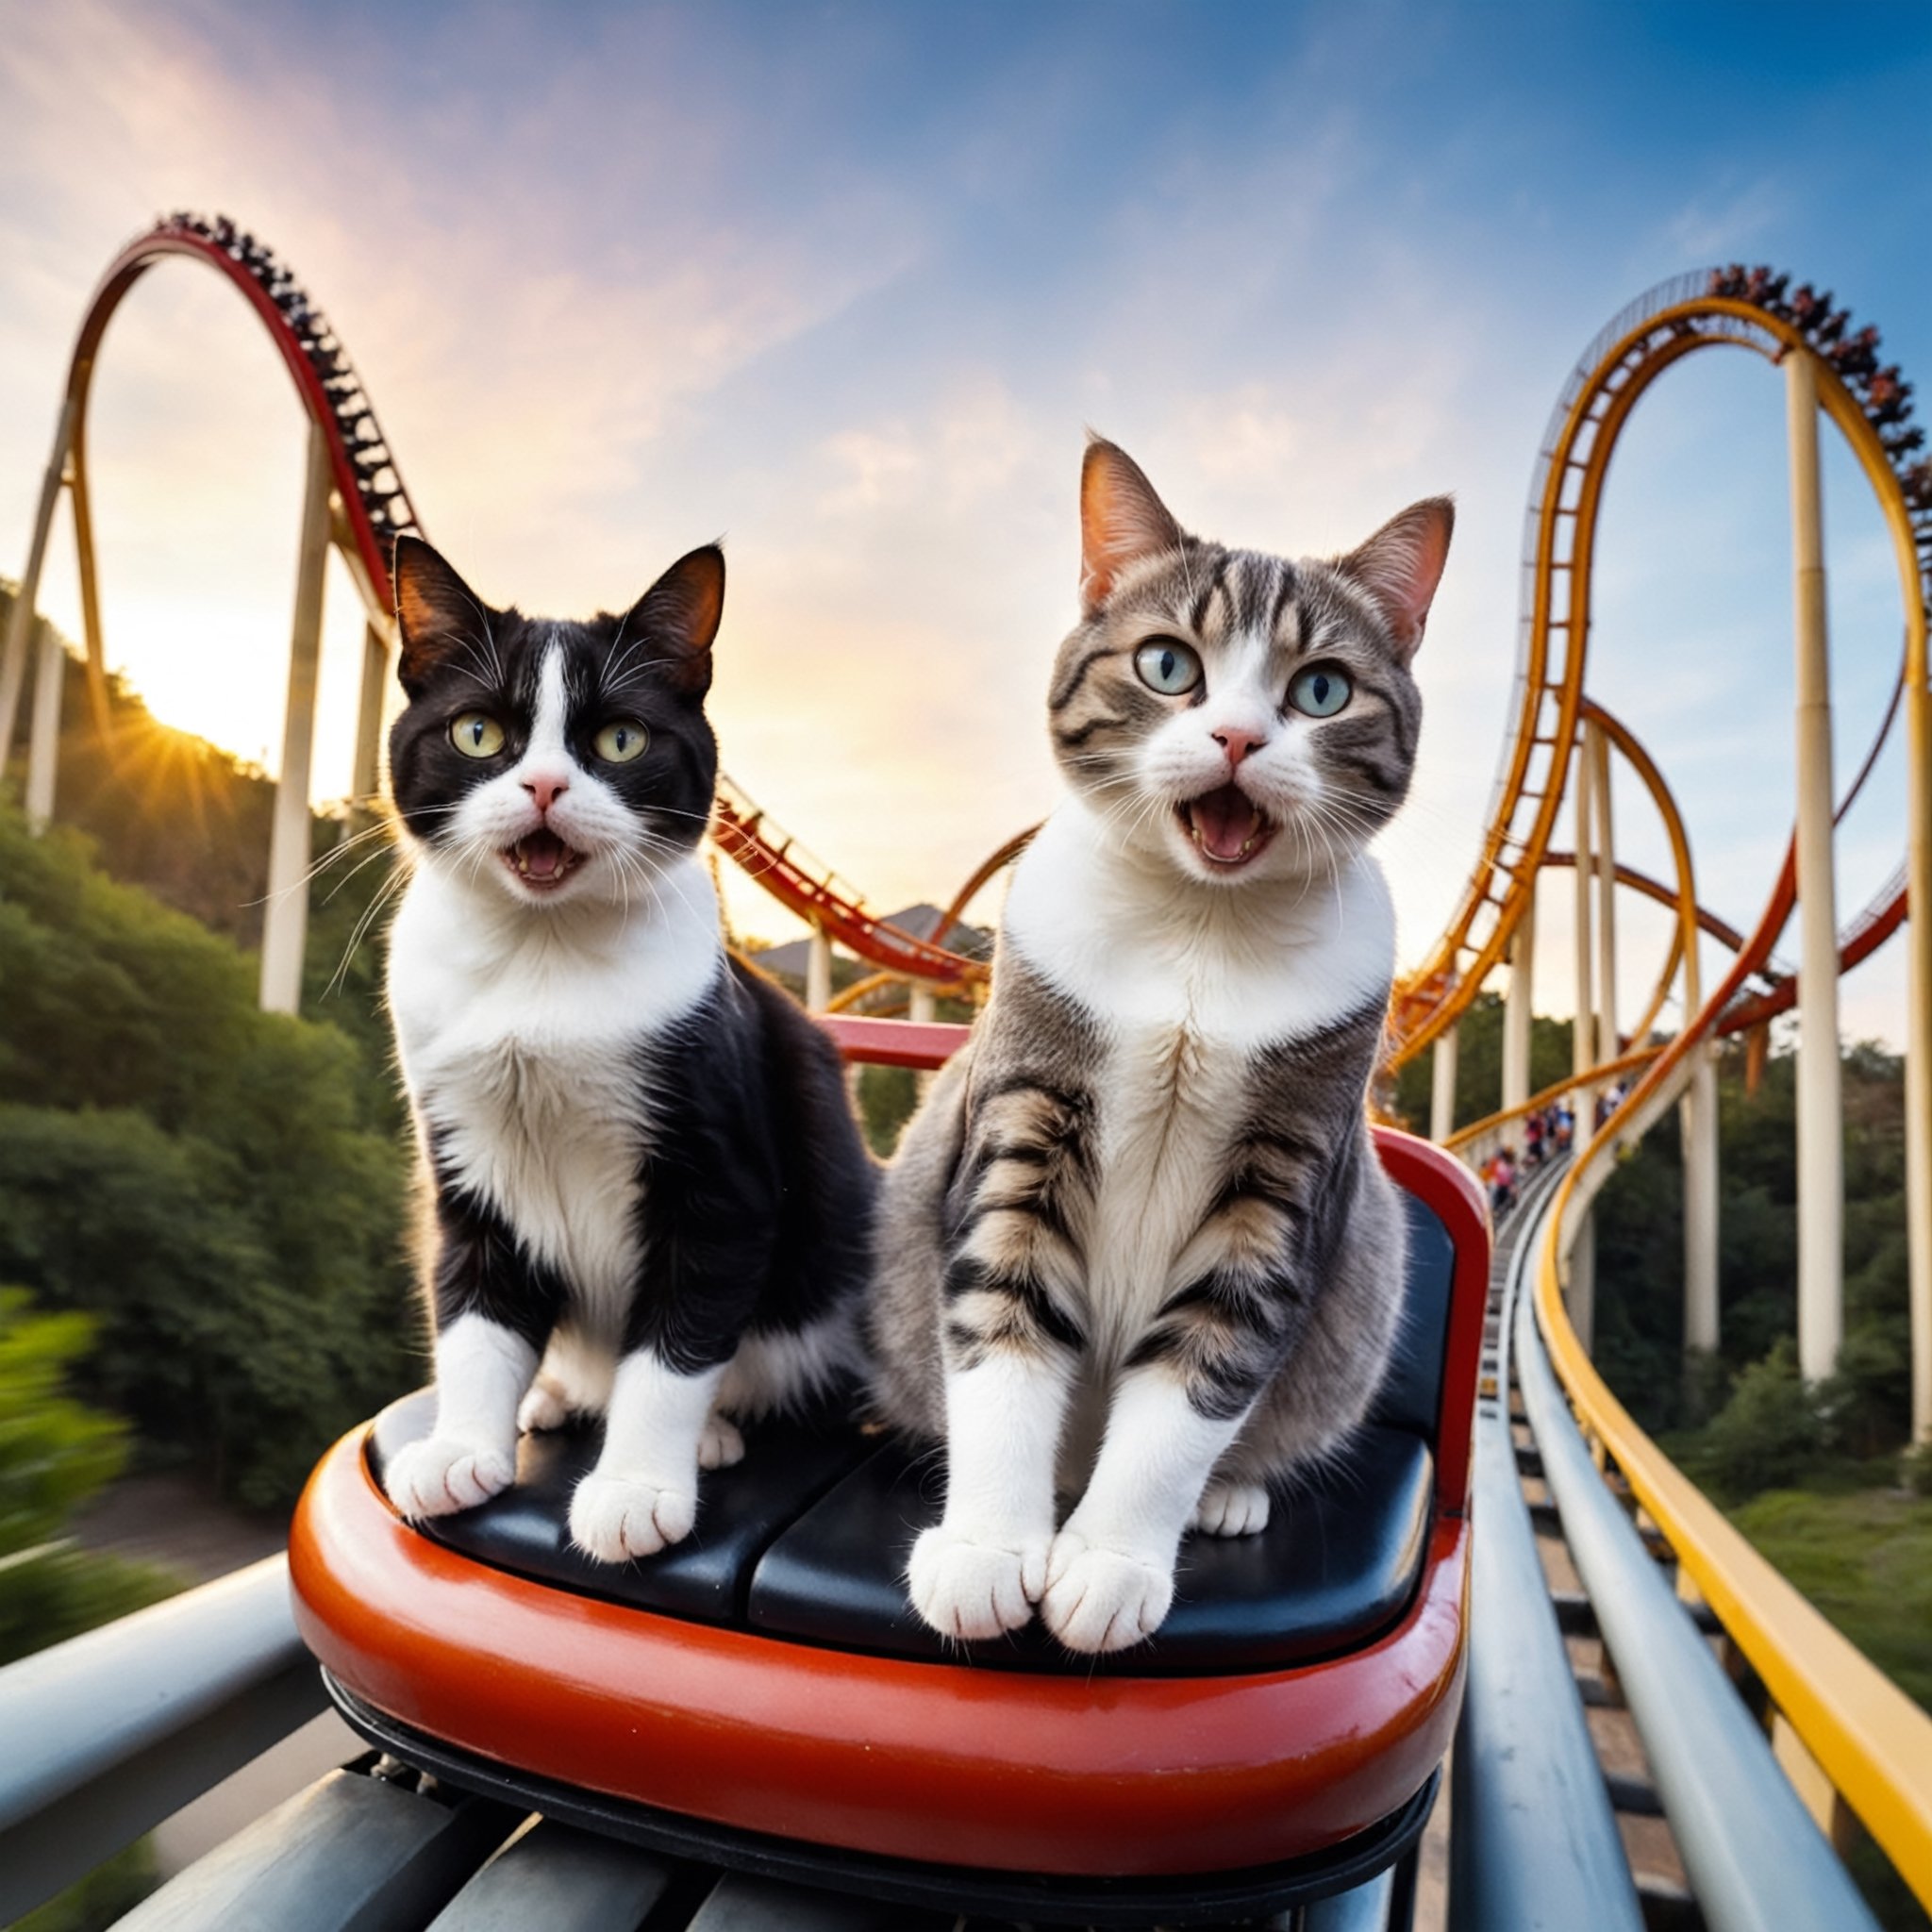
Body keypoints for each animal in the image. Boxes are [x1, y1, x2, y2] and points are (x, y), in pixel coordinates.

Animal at [378, 537, 876, 1560]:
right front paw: (461, 1446)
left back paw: (714, 1430)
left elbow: (675, 1342)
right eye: (478, 733)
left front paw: (636, 1488)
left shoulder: (718, 1173)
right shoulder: (462, 1159)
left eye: (620, 741)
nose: (544, 785)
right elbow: (474, 1311)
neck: (542, 958)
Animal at [873, 434, 1453, 1645]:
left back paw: (1226, 1492)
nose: (1235, 735)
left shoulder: (1282, 1176)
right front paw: (988, 1547)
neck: (1196, 930)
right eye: (1166, 665)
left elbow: (1197, 1376)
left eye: (1320, 689)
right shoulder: (1024, 1113)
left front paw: (1108, 1562)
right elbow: (998, 1321)